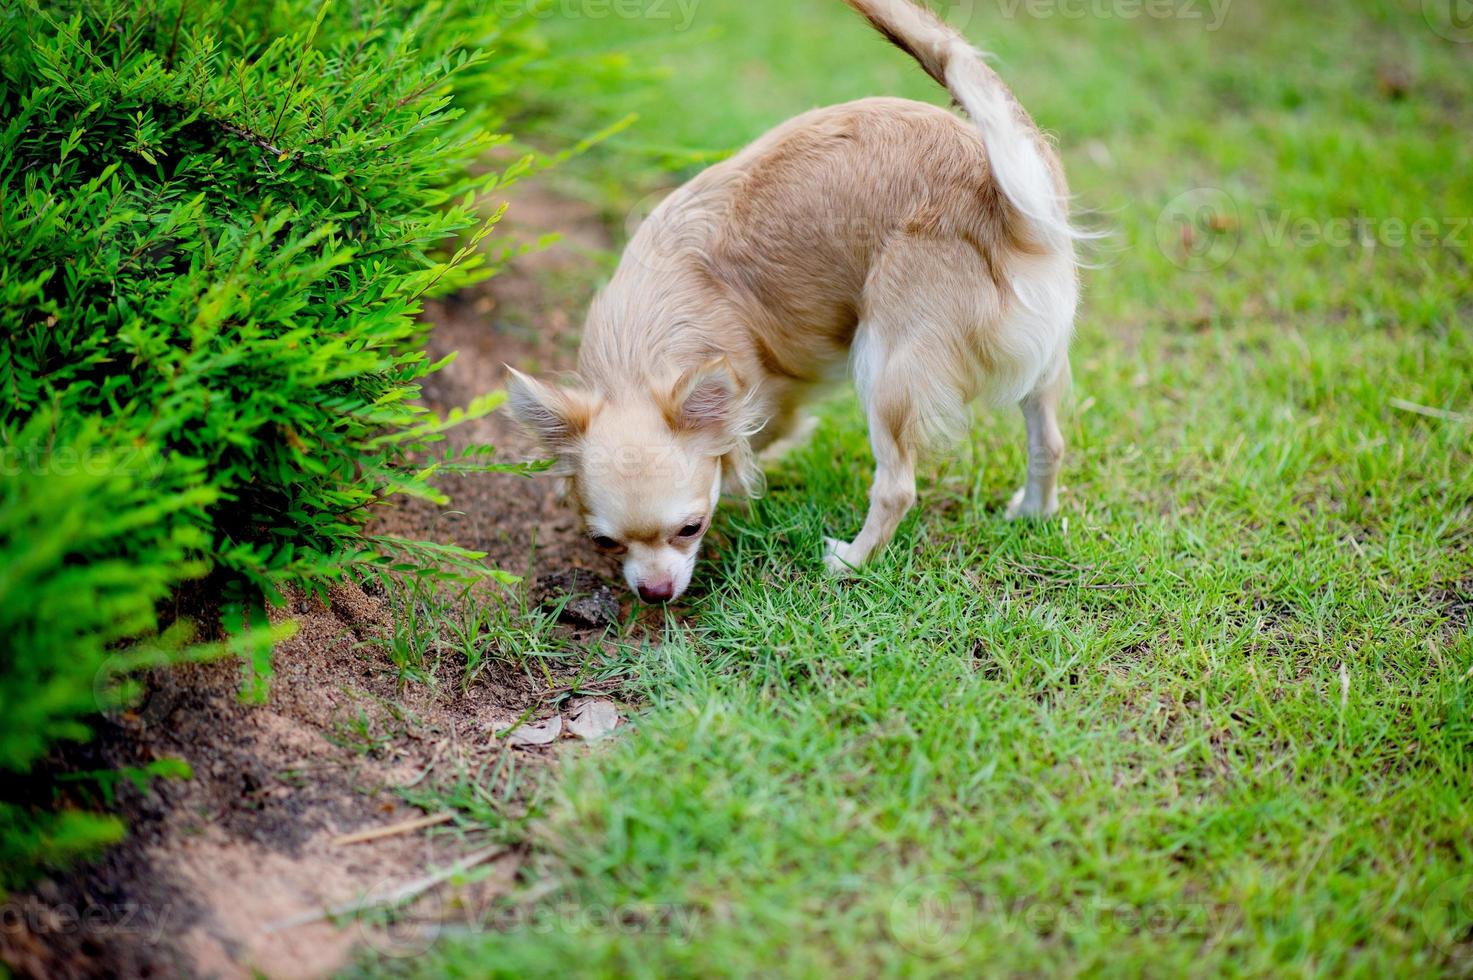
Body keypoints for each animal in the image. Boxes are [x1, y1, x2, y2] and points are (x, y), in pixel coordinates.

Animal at [509, 0, 1084, 601]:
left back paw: (851, 561)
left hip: (882, 365)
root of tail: (1004, 202)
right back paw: (1034, 512)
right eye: (604, 542)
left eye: (692, 528)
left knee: (897, 488)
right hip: (1040, 362)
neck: (643, 342)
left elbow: (748, 446)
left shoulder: (764, 398)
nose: (655, 592)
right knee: (1049, 442)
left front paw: (742, 475)